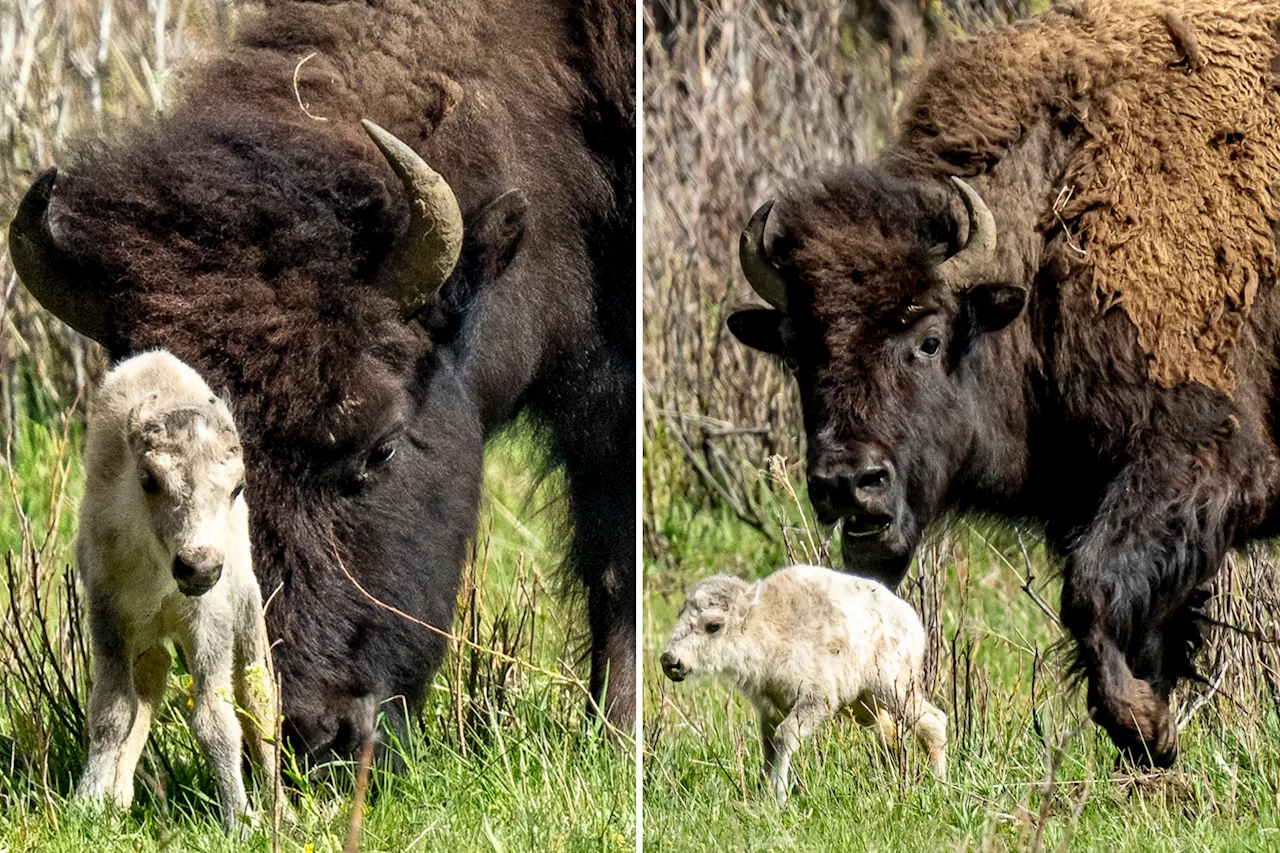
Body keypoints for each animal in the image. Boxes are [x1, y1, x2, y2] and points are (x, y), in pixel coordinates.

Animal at [76, 350, 275, 829]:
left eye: (238, 487)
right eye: (149, 479)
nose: (198, 566)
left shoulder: (209, 621)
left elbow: (216, 719)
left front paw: (241, 820)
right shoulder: (108, 614)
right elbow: (113, 710)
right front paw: (87, 802)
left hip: (247, 610)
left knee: (258, 697)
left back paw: (287, 807)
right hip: (147, 635)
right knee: (152, 678)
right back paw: (118, 797)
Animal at [665, 560, 947, 799]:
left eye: (713, 625)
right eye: (679, 615)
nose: (670, 660)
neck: (769, 625)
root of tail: (912, 620)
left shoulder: (817, 698)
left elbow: (784, 736)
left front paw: (778, 796)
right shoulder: (770, 707)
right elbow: (769, 745)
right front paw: (762, 793)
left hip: (892, 687)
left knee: (933, 721)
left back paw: (938, 785)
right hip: (864, 704)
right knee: (890, 733)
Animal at [727, 0, 1280, 758]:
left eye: (929, 340)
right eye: (794, 352)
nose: (848, 482)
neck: (1054, 227)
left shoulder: (1207, 456)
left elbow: (1092, 591)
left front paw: (1144, 723)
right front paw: (1152, 734)